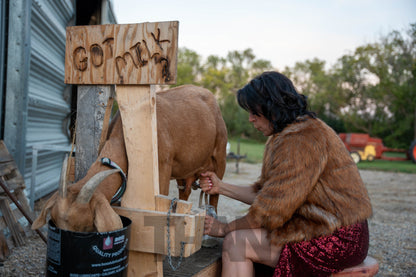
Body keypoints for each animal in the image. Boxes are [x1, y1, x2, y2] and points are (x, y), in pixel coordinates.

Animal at [32, 85, 228, 232]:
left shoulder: (162, 168)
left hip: (220, 156)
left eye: (86, 226)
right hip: (185, 170)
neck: (124, 137)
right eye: (55, 223)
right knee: (184, 192)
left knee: (215, 195)